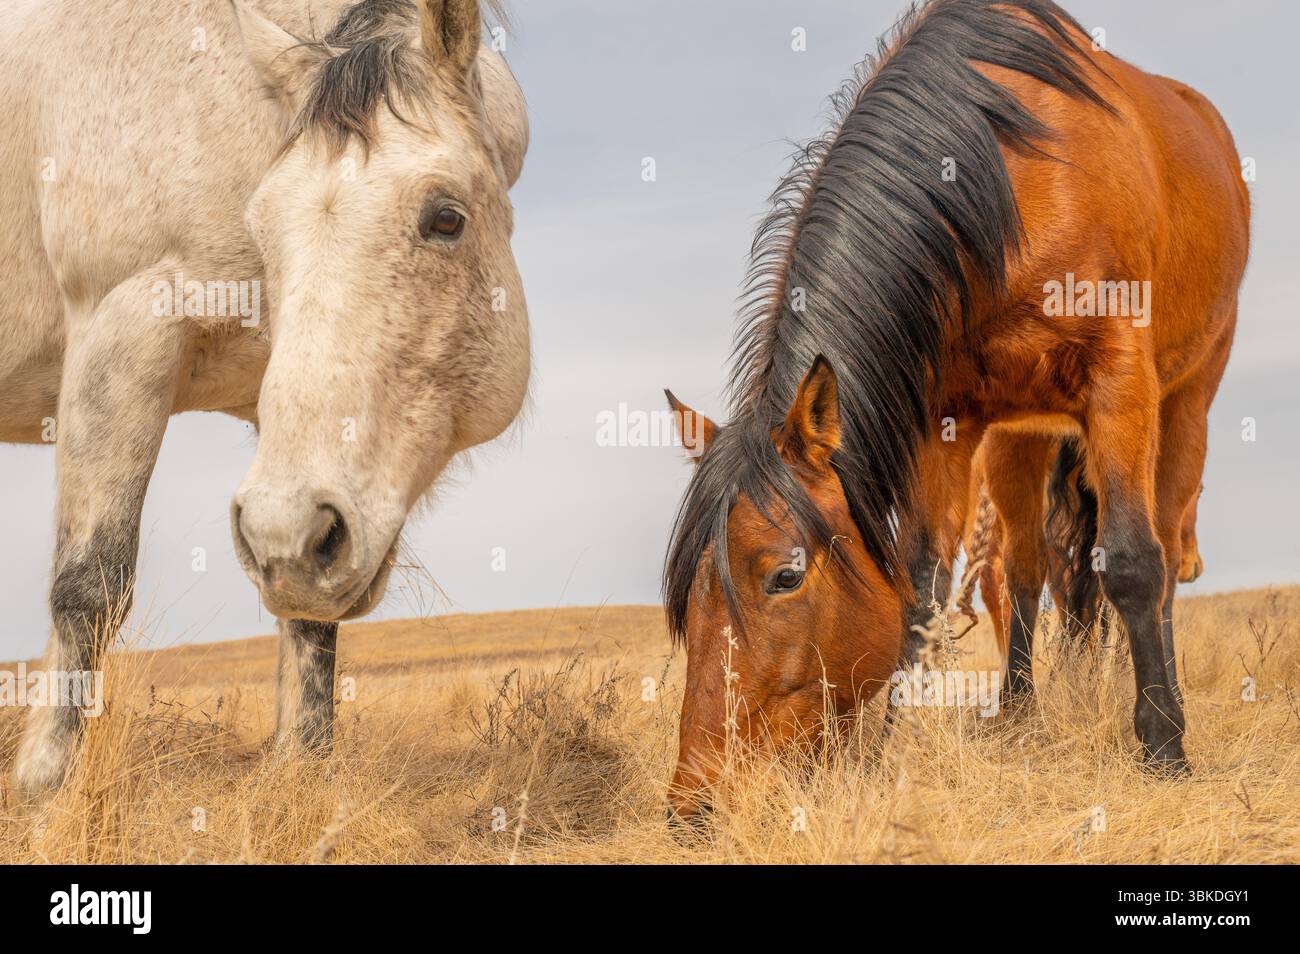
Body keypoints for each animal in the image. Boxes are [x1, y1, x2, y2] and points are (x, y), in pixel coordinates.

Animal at [0, 0, 530, 803]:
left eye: (447, 218)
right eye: (262, 229)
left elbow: (308, 625)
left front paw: (300, 777)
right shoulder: (121, 330)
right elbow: (88, 583)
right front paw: (42, 793)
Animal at [663, 0, 1249, 820]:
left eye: (784, 576)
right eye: (688, 596)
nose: (693, 804)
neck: (1009, 182)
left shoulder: (1120, 383)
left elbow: (1134, 564)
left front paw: (1163, 747)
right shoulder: (949, 421)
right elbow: (921, 590)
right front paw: (887, 756)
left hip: (1185, 400)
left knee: (1163, 552)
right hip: (1018, 439)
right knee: (1026, 571)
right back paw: (1019, 714)